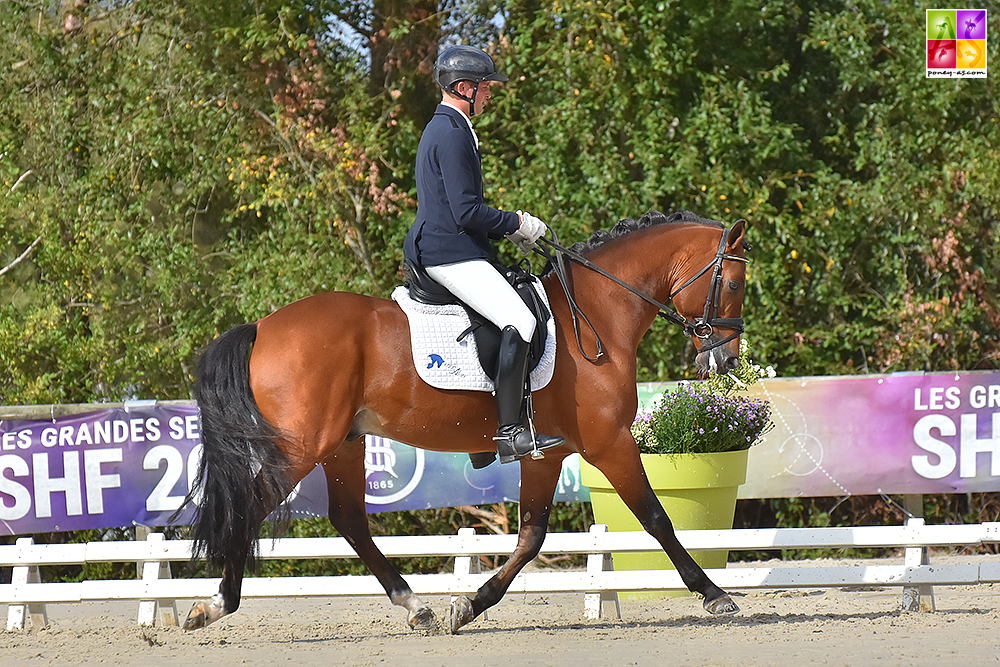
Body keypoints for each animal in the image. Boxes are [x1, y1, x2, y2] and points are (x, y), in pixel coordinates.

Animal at [180, 211, 752, 636]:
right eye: (734, 282)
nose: (723, 362)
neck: (595, 313)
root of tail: (262, 326)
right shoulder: (608, 443)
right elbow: (656, 517)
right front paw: (715, 595)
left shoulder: (547, 452)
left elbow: (531, 537)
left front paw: (469, 605)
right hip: (303, 445)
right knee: (252, 506)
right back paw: (214, 605)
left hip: (342, 443)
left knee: (349, 520)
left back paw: (418, 608)